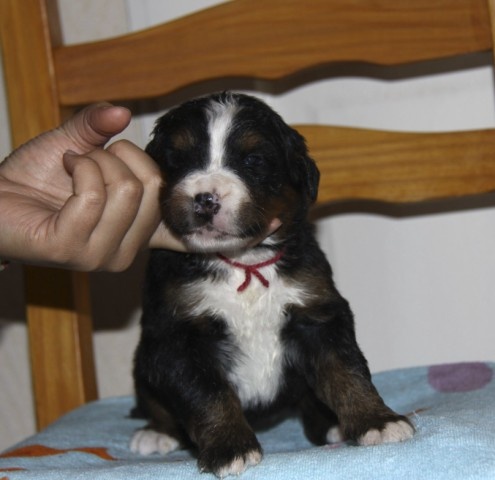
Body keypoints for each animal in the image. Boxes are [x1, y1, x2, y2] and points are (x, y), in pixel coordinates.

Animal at [130, 92, 414, 477]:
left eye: (253, 160)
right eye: (178, 159)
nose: (205, 198)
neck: (242, 262)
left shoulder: (317, 312)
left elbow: (346, 371)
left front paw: (378, 422)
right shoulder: (177, 334)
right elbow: (207, 393)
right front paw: (230, 447)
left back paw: (333, 425)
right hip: (145, 359)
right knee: (154, 402)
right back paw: (156, 433)